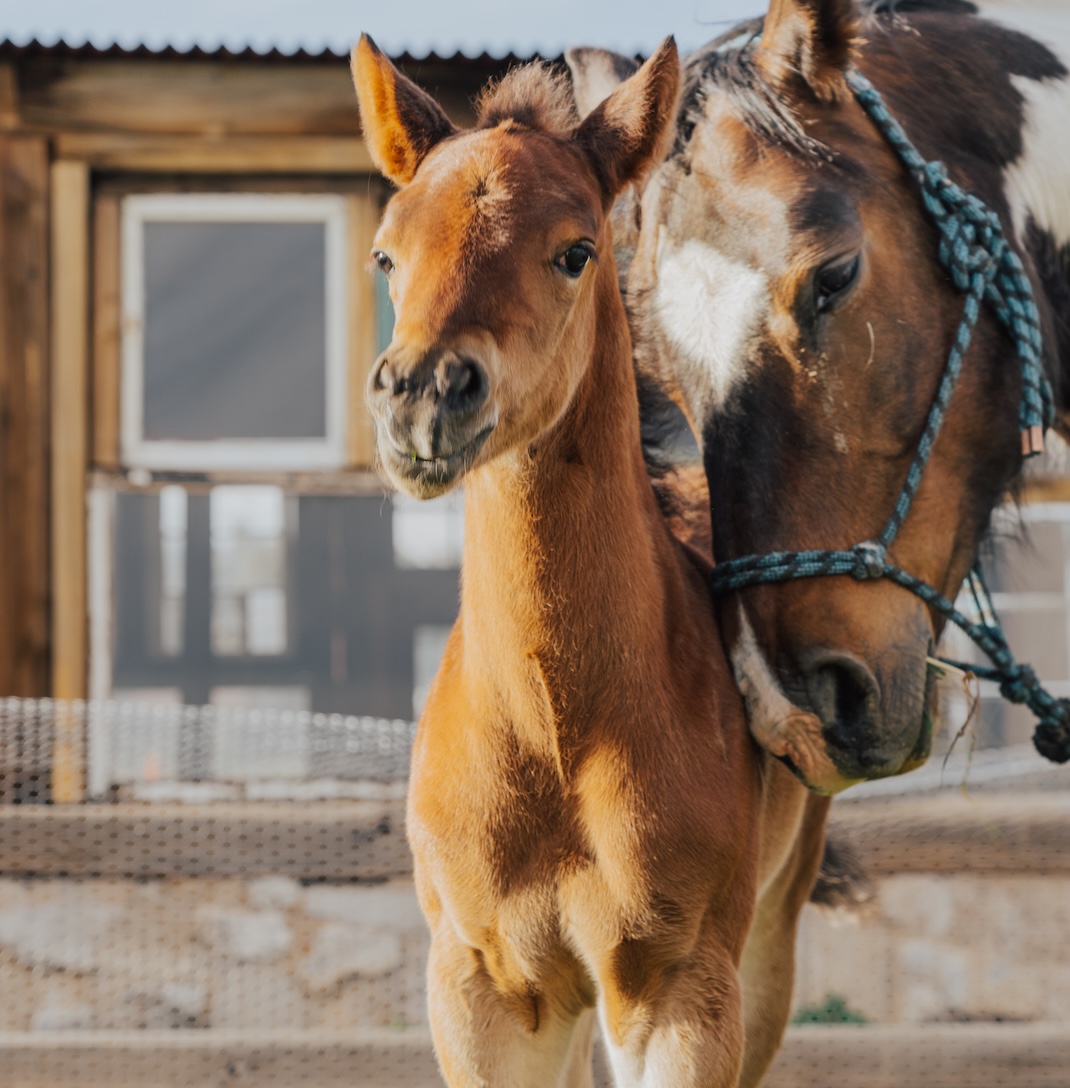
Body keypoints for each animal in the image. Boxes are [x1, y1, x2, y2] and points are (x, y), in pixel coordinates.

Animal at [352, 34, 831, 1088]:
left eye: (575, 251)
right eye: (385, 253)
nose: (422, 396)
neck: (556, 726)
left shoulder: (680, 994)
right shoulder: (484, 992)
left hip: (766, 952)